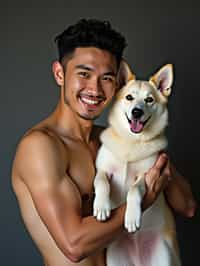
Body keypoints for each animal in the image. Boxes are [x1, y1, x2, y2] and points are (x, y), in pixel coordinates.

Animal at [93, 61, 180, 264]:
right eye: (129, 97)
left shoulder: (146, 177)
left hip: (163, 256)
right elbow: (101, 183)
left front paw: (132, 217)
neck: (131, 142)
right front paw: (101, 206)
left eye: (149, 100)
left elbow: (133, 191)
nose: (137, 112)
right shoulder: (103, 170)